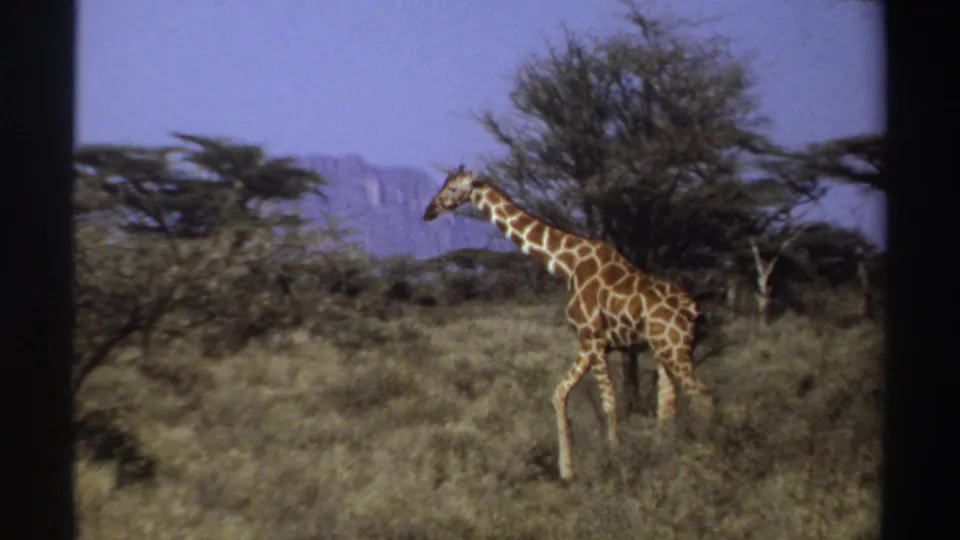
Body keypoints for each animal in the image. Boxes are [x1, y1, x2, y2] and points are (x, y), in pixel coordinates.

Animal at [423, 165, 715, 481]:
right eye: (444, 184)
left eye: (453, 189)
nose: (429, 211)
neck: (567, 265)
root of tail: (694, 309)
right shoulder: (590, 344)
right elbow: (559, 393)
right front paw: (566, 471)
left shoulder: (594, 339)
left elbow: (609, 402)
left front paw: (615, 458)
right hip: (663, 350)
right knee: (669, 403)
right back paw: (668, 453)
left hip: (676, 349)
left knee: (703, 397)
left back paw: (707, 454)